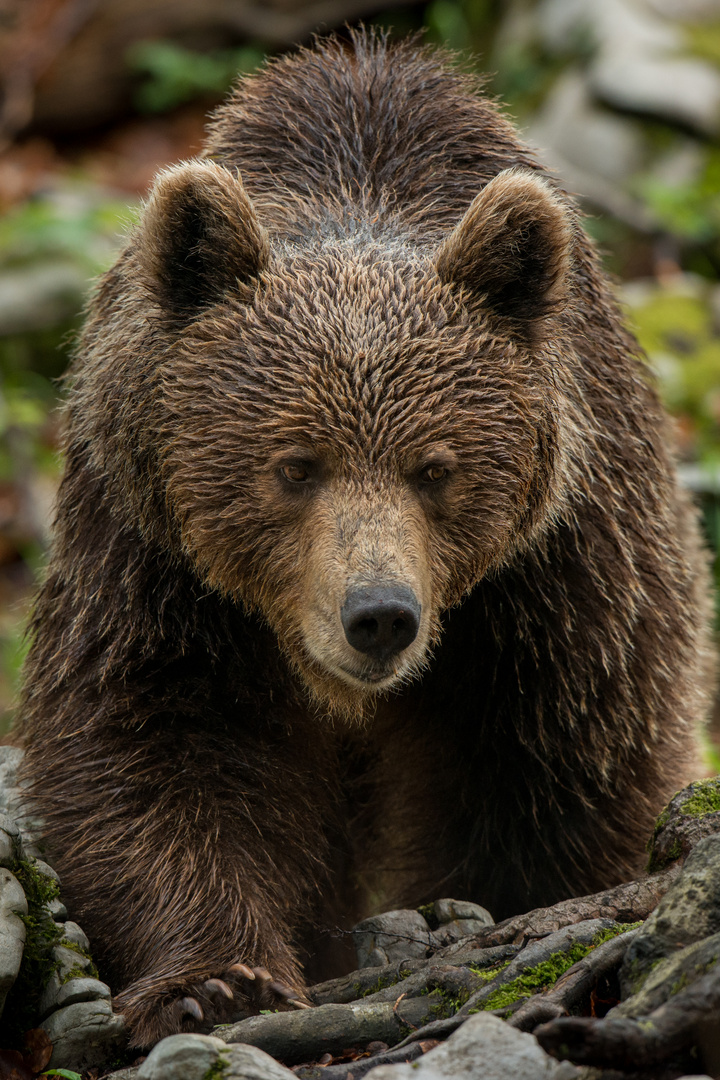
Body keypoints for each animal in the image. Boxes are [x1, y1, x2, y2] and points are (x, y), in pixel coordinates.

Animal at [15, 29, 716, 1049]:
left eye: (436, 468)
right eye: (294, 465)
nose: (378, 614)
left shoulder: (559, 571)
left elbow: (566, 768)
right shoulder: (150, 555)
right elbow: (151, 740)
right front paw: (214, 981)